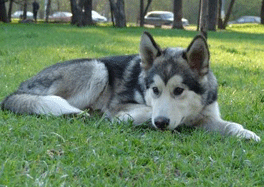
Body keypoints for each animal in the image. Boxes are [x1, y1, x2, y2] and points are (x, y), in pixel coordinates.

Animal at [0, 32, 260, 141]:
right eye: (155, 90)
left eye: (179, 91)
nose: (161, 123)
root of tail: (19, 88)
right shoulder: (124, 105)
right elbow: (140, 111)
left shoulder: (207, 116)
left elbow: (229, 125)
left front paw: (245, 133)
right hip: (97, 69)